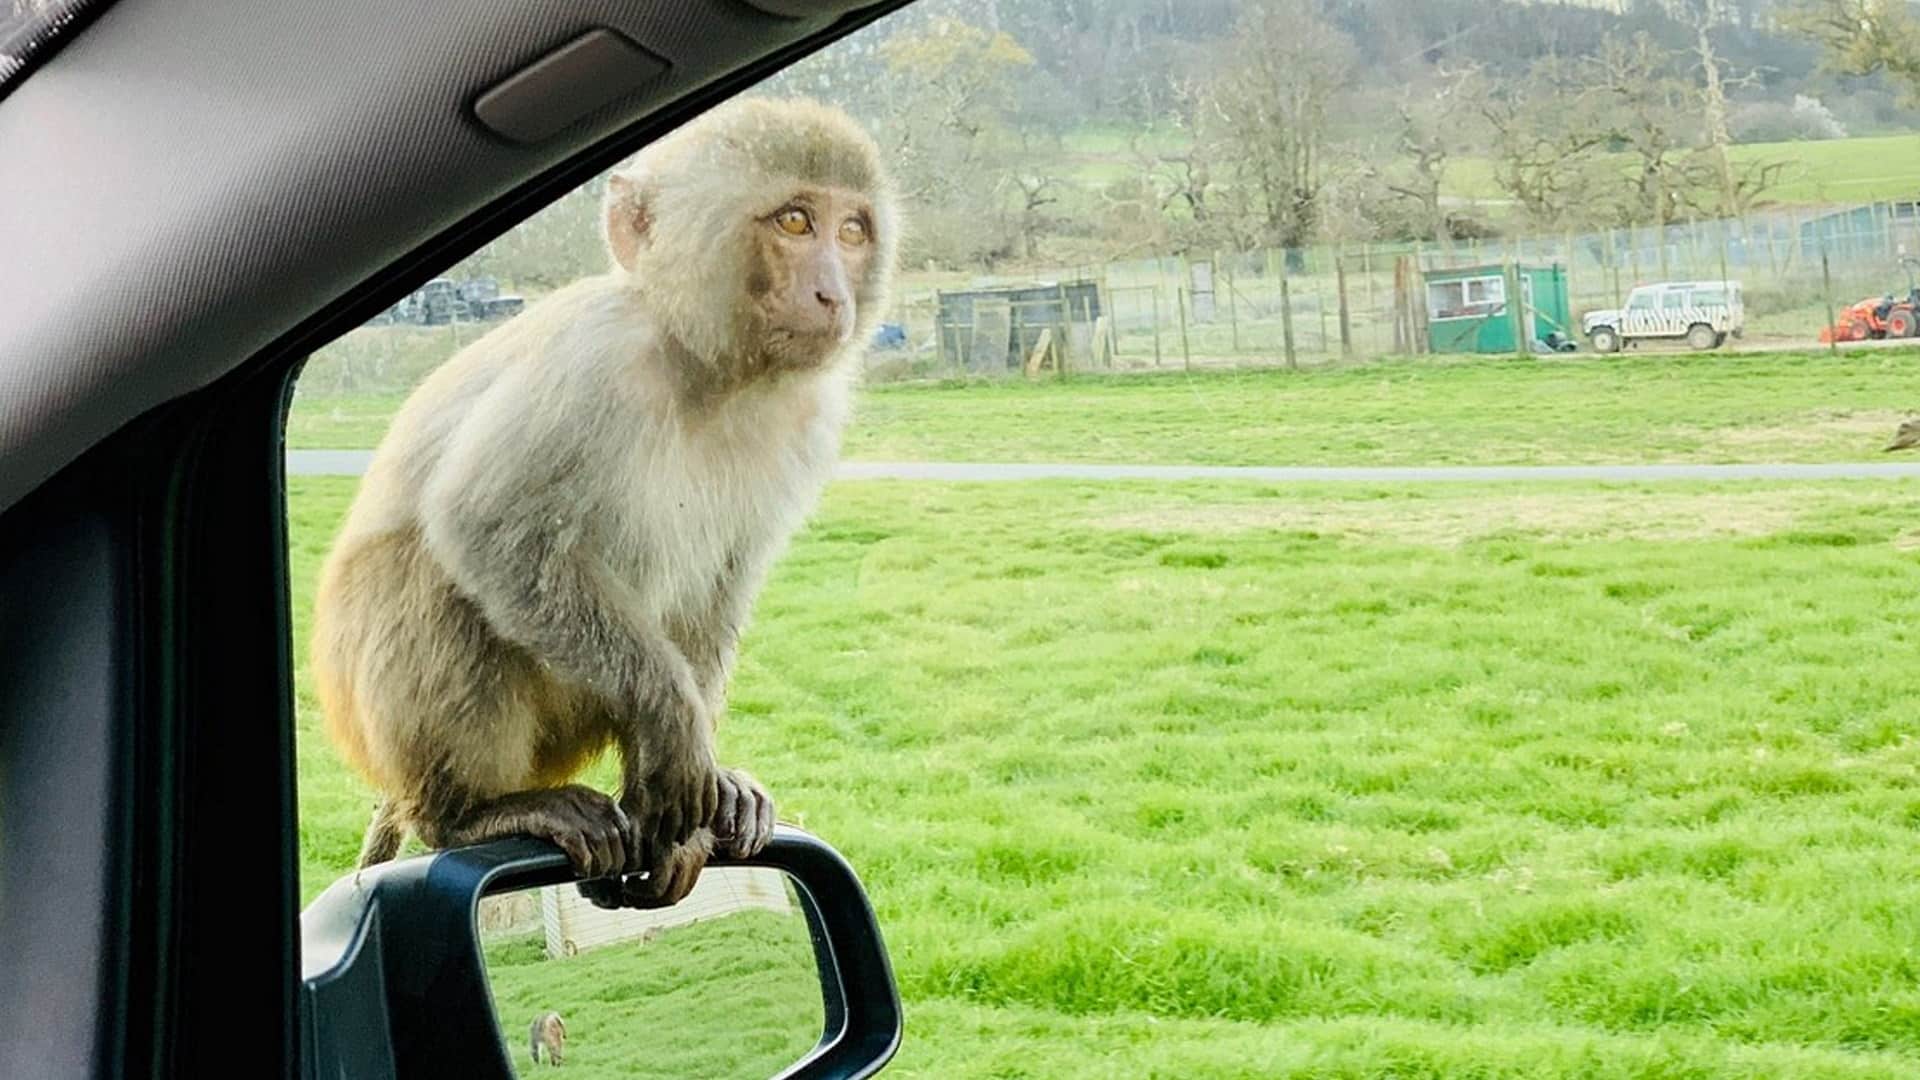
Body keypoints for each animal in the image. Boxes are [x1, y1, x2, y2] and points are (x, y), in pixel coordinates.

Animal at [312, 96, 898, 907]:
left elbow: (724, 581)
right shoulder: (594, 360)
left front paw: (700, 796)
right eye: (793, 222)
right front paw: (673, 720)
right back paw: (467, 812)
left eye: (851, 231)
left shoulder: (811, 418)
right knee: (428, 576)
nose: (832, 294)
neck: (706, 368)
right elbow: (487, 529)